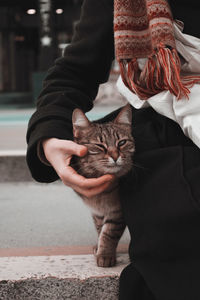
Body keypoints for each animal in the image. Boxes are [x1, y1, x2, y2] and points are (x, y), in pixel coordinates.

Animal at [71, 105, 135, 268]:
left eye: (122, 143)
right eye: (100, 146)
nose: (115, 156)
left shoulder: (117, 211)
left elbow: (109, 233)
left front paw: (105, 255)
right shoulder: (97, 211)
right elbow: (100, 228)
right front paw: (99, 246)